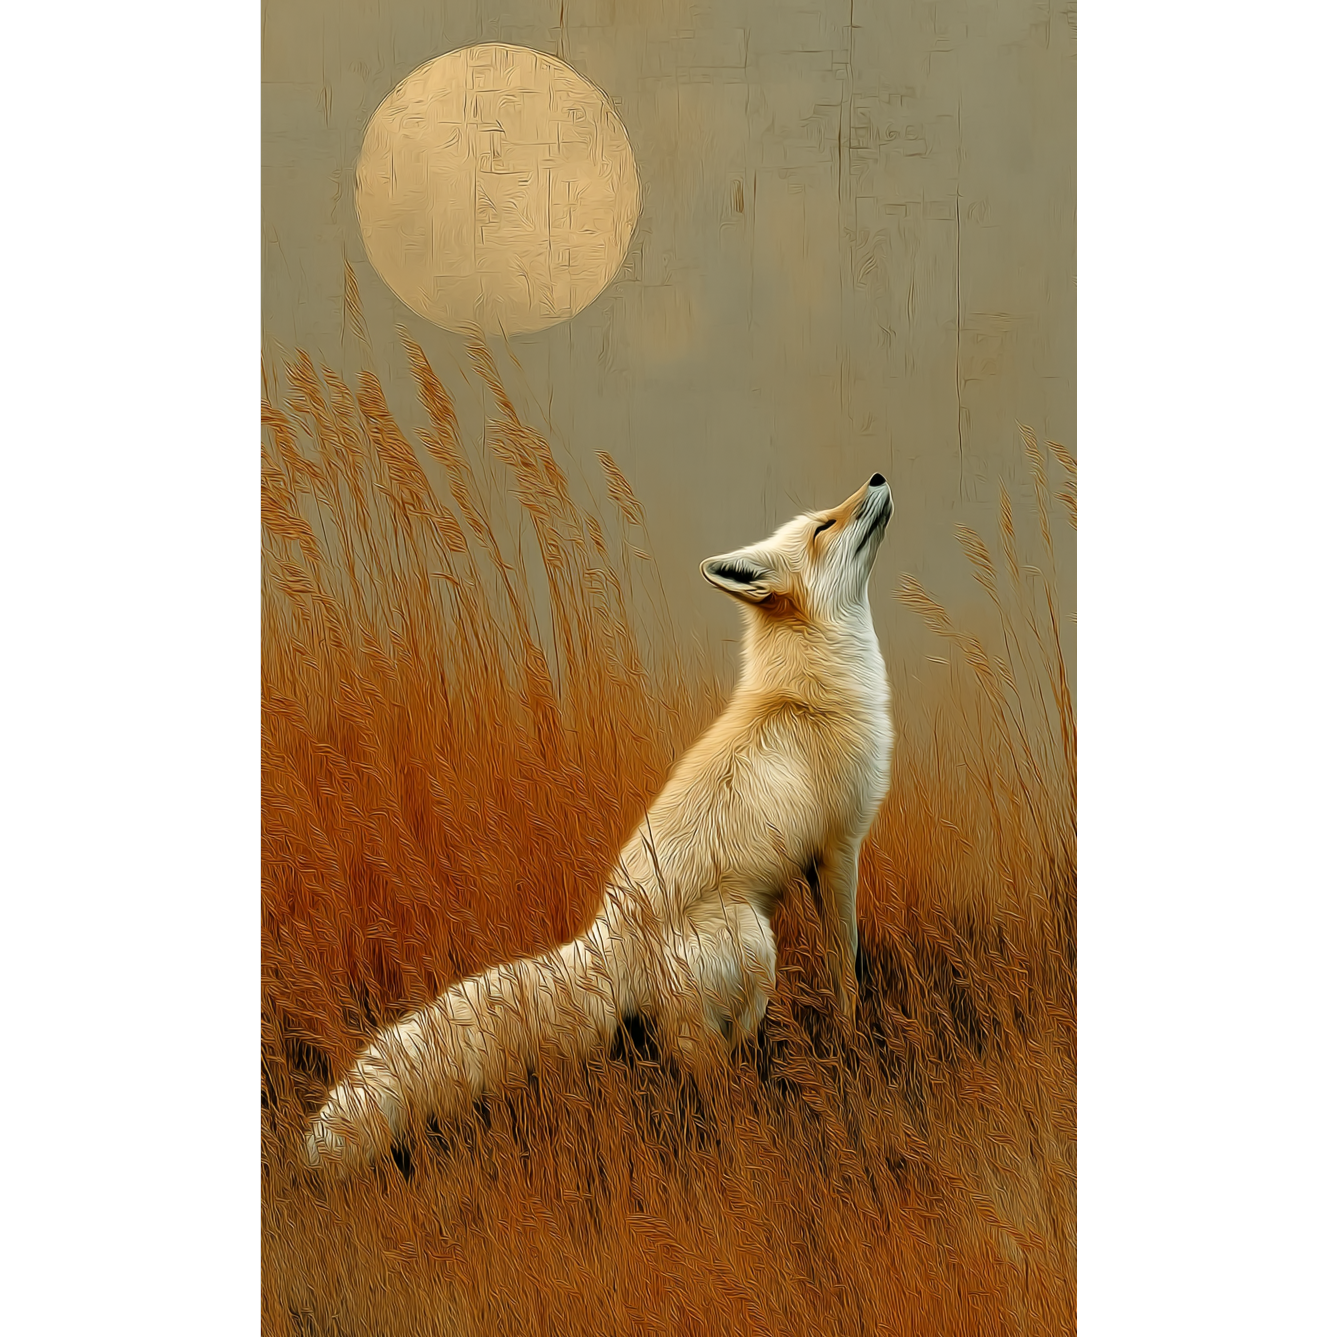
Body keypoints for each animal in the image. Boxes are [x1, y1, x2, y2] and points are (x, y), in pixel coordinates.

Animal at [304, 474, 895, 1172]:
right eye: (825, 526)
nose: (877, 478)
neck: (807, 694)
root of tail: (608, 931)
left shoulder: (826, 856)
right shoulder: (839, 848)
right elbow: (844, 962)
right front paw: (850, 1033)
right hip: (756, 945)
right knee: (707, 1062)